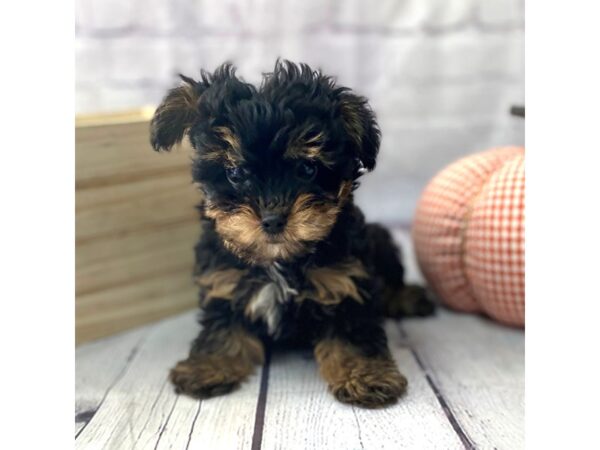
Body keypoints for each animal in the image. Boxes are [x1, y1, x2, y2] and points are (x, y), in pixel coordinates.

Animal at [149, 59, 432, 408]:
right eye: (235, 173)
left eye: (307, 169)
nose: (272, 219)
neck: (279, 261)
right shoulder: (224, 280)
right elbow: (222, 326)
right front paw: (209, 366)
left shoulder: (346, 282)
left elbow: (353, 332)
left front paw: (365, 376)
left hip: (379, 242)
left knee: (391, 280)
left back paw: (407, 297)